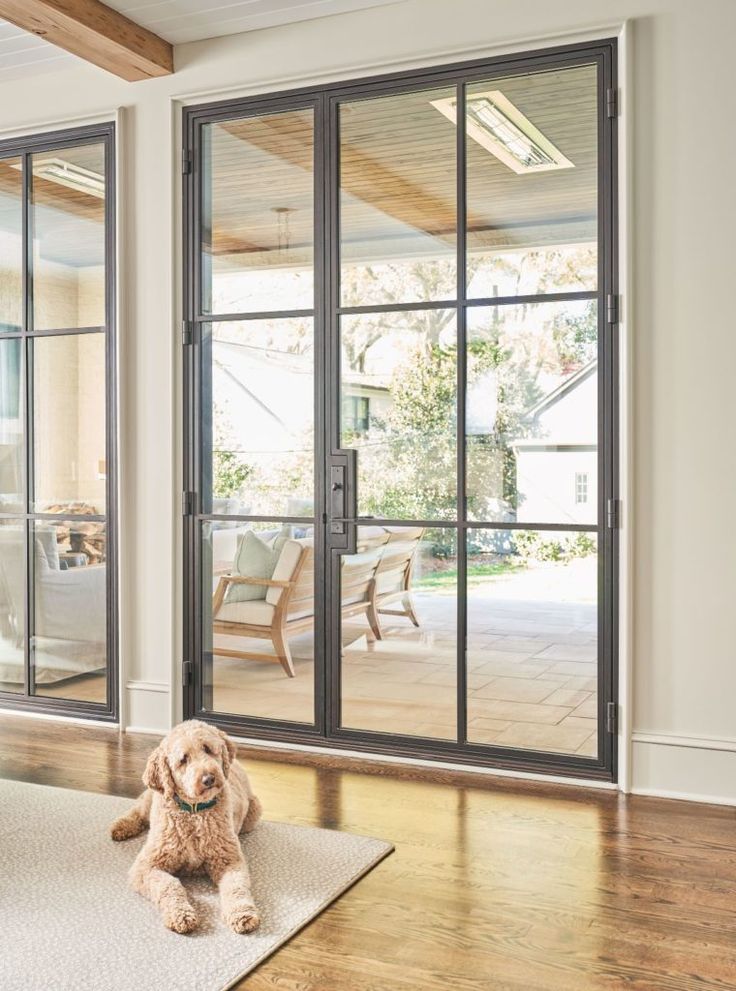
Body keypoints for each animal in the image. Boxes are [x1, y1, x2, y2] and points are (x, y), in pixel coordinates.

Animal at [110, 720, 264, 936]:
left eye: (207, 749)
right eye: (183, 760)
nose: (209, 778)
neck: (194, 813)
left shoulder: (229, 861)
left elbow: (236, 887)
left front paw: (242, 914)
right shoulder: (145, 867)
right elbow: (169, 885)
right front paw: (180, 915)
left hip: (253, 812)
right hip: (151, 798)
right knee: (139, 810)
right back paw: (121, 826)